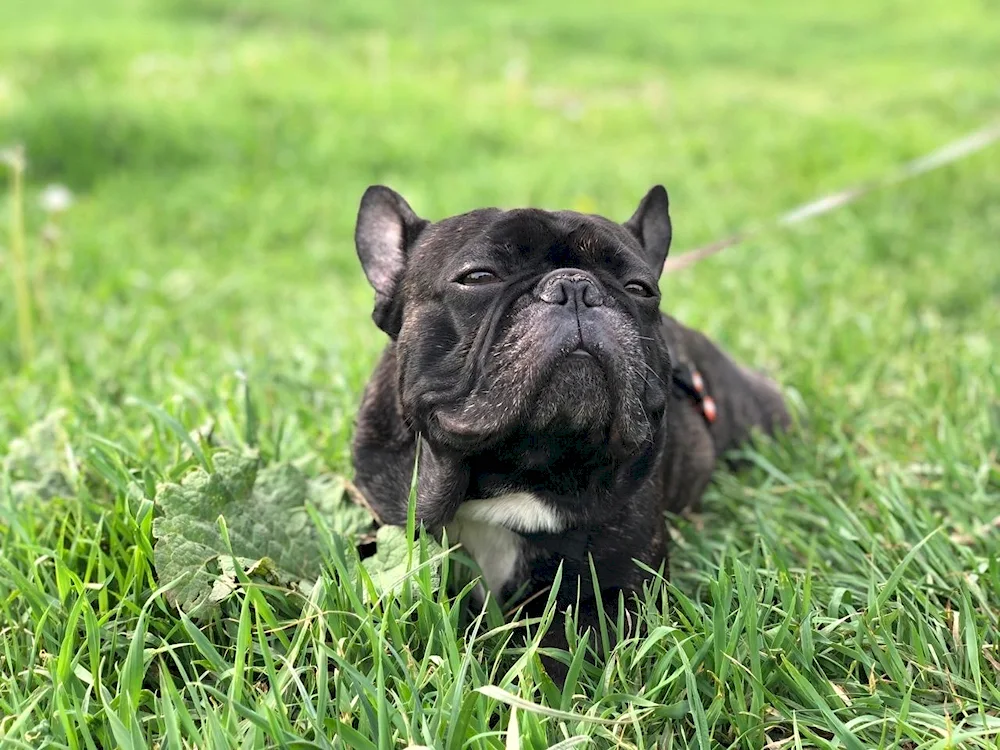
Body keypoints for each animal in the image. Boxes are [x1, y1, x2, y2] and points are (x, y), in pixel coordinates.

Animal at [350, 184, 788, 676]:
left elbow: (557, 654)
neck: (518, 471)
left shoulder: (613, 593)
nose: (575, 286)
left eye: (639, 289)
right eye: (478, 277)